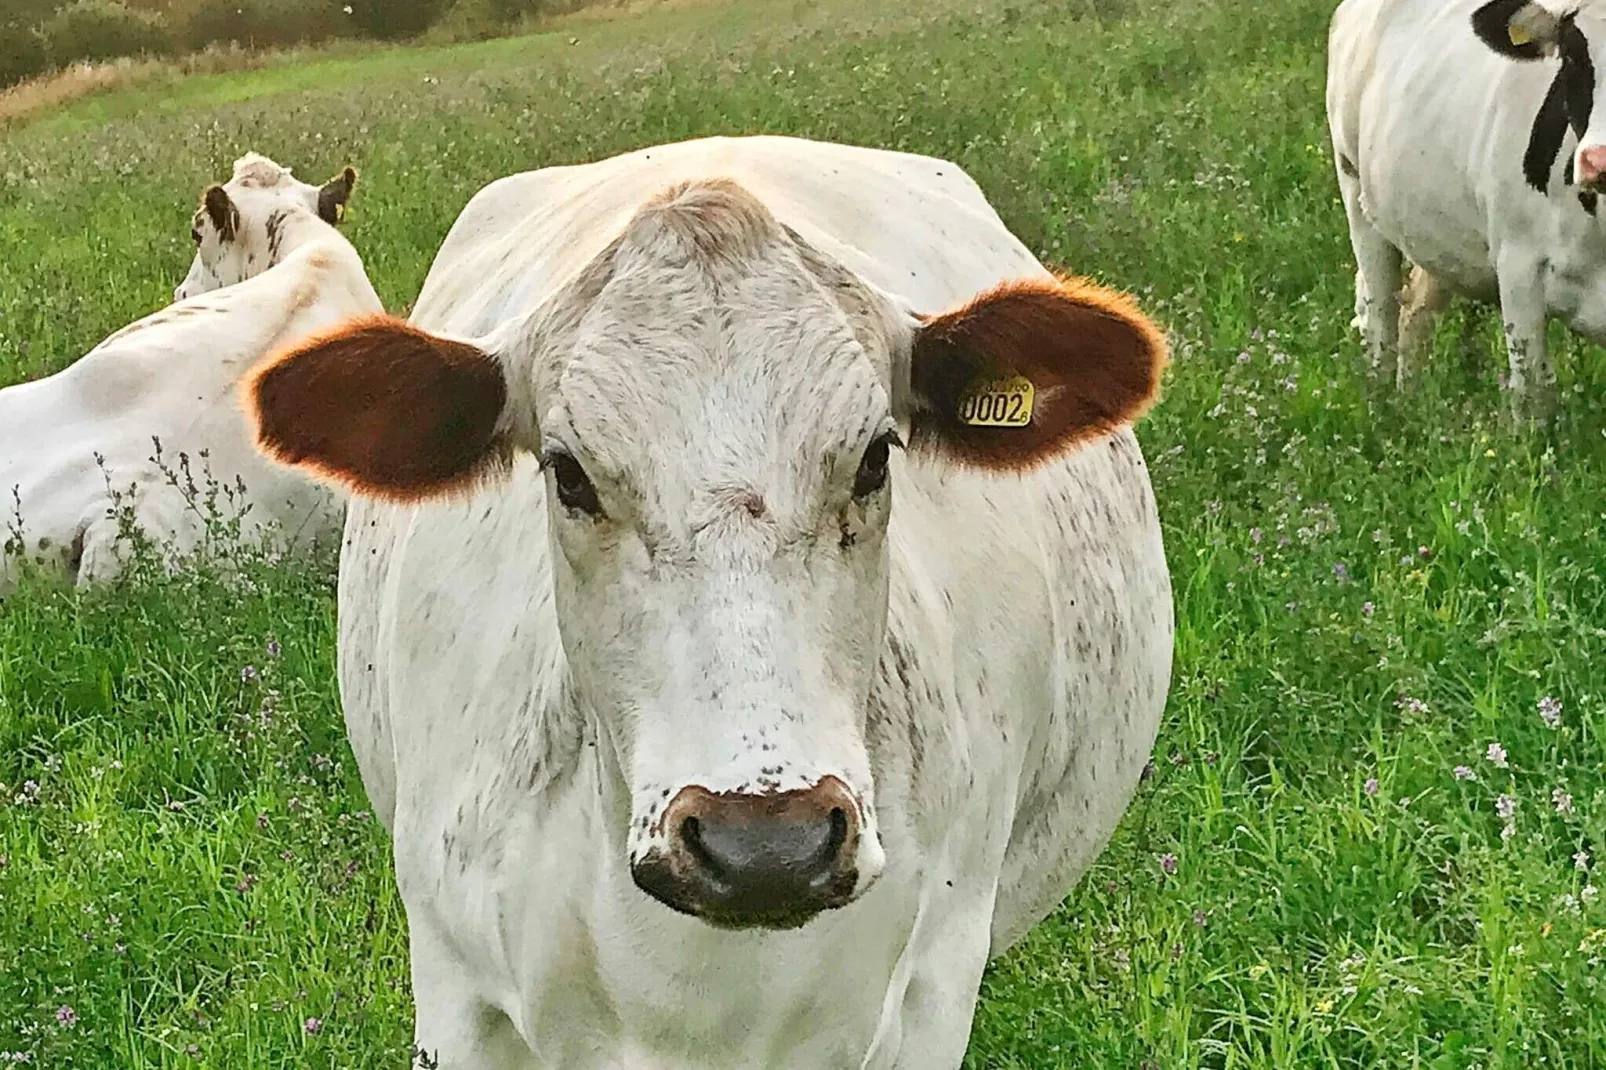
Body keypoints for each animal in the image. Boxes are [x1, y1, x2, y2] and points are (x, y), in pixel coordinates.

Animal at [1329, 0, 1606, 422]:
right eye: (1573, 55)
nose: (1598, 160)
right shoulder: (1519, 266)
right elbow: (1534, 400)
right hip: (1356, 190)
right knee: (1380, 318)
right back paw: (1383, 414)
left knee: (1414, 313)